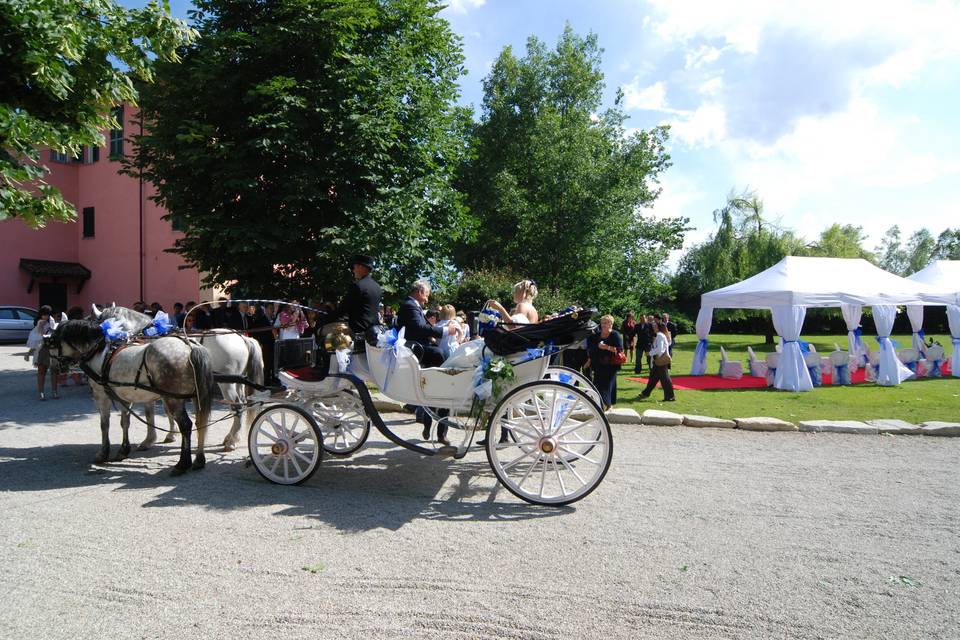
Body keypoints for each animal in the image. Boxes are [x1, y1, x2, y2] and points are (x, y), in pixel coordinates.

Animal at [53, 318, 216, 472]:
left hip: (173, 398)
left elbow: (104, 424)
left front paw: (103, 453)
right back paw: (199, 460)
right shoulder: (124, 396)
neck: (99, 353)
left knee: (186, 425)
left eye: (54, 341)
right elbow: (125, 422)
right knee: (200, 423)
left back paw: (182, 464)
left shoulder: (101, 396)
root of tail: (190, 346)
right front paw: (123, 450)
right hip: (195, 396)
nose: (59, 366)